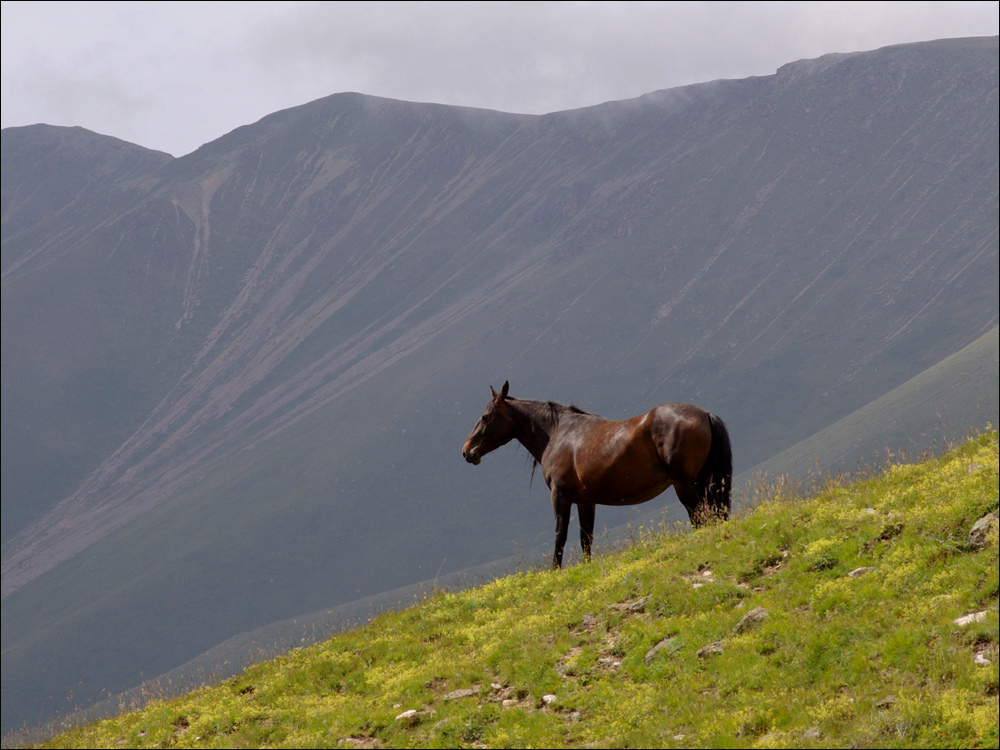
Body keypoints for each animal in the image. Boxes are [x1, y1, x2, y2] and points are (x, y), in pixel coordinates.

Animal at [462, 382, 736, 568]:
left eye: (485, 417)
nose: (467, 451)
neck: (558, 433)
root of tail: (705, 414)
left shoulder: (560, 496)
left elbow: (560, 535)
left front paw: (554, 571)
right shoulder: (586, 502)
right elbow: (586, 539)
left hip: (684, 484)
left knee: (699, 516)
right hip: (701, 481)